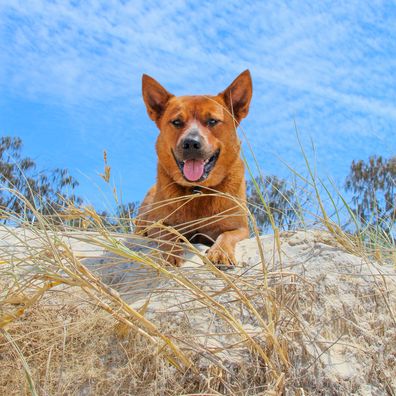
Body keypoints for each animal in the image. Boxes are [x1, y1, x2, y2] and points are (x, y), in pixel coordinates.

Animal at [136, 71, 252, 270]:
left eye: (212, 121)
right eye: (176, 122)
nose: (191, 143)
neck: (198, 191)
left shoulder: (240, 227)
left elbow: (227, 235)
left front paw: (220, 252)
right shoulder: (158, 223)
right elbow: (168, 234)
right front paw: (171, 253)